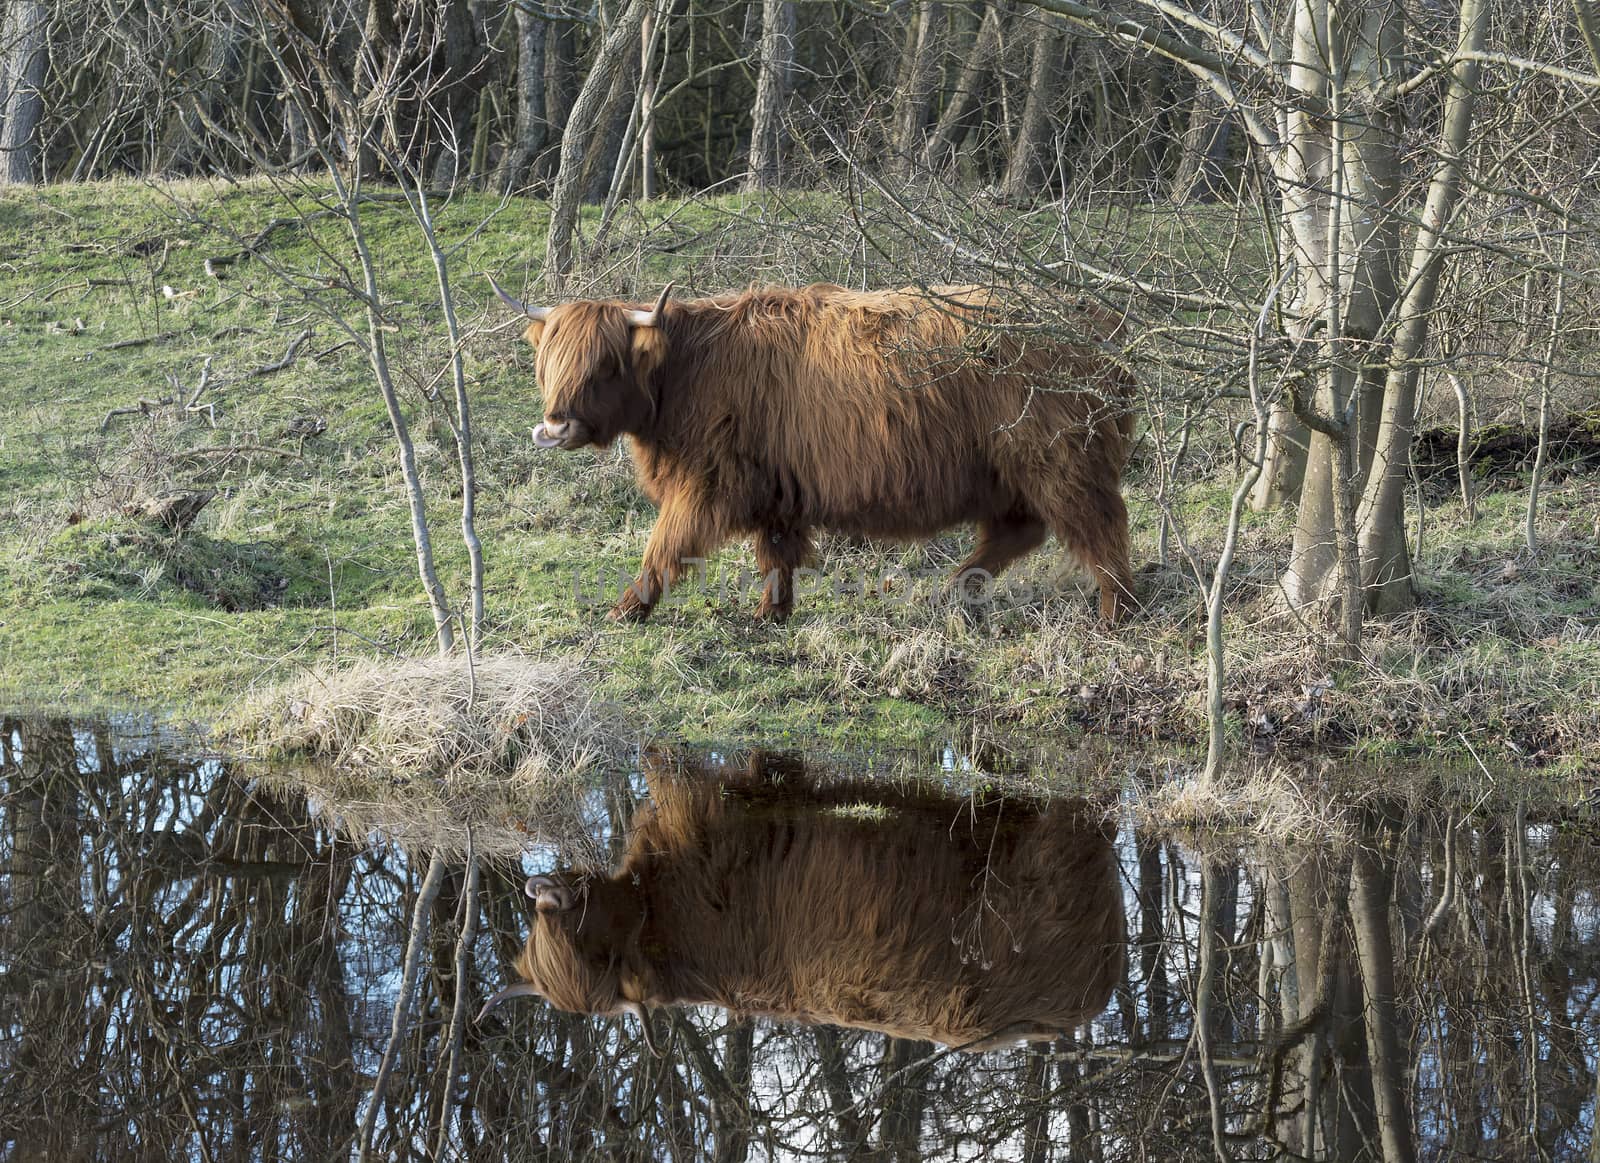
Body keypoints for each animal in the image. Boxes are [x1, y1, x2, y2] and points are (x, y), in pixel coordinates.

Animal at [492, 278, 1132, 623]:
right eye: (547, 361)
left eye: (604, 365)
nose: (553, 428)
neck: (686, 373)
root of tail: (1098, 323)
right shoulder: (774, 486)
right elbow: (778, 553)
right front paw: (770, 616)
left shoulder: (708, 481)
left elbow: (666, 546)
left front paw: (628, 609)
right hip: (1009, 472)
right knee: (1018, 530)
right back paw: (951, 590)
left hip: (1058, 458)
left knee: (1099, 530)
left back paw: (1114, 615)